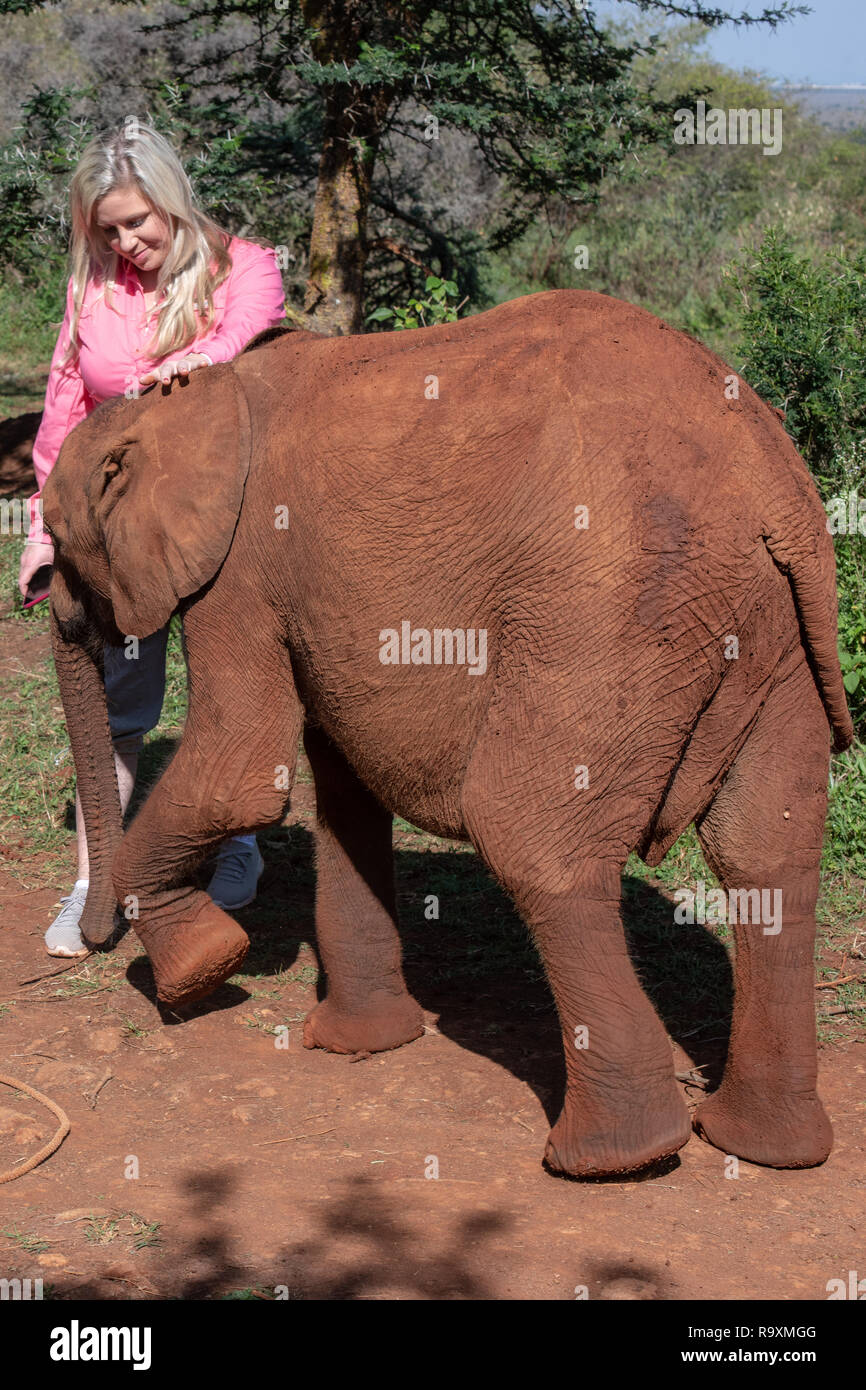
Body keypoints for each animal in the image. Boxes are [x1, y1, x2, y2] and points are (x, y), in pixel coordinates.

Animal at [44, 287, 850, 1178]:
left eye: (58, 536)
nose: (93, 938)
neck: (187, 395)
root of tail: (770, 484)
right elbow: (343, 792)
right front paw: (357, 1044)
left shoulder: (242, 573)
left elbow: (240, 775)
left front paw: (199, 972)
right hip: (777, 629)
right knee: (766, 851)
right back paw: (768, 1148)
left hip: (613, 611)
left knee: (534, 837)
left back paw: (609, 1160)